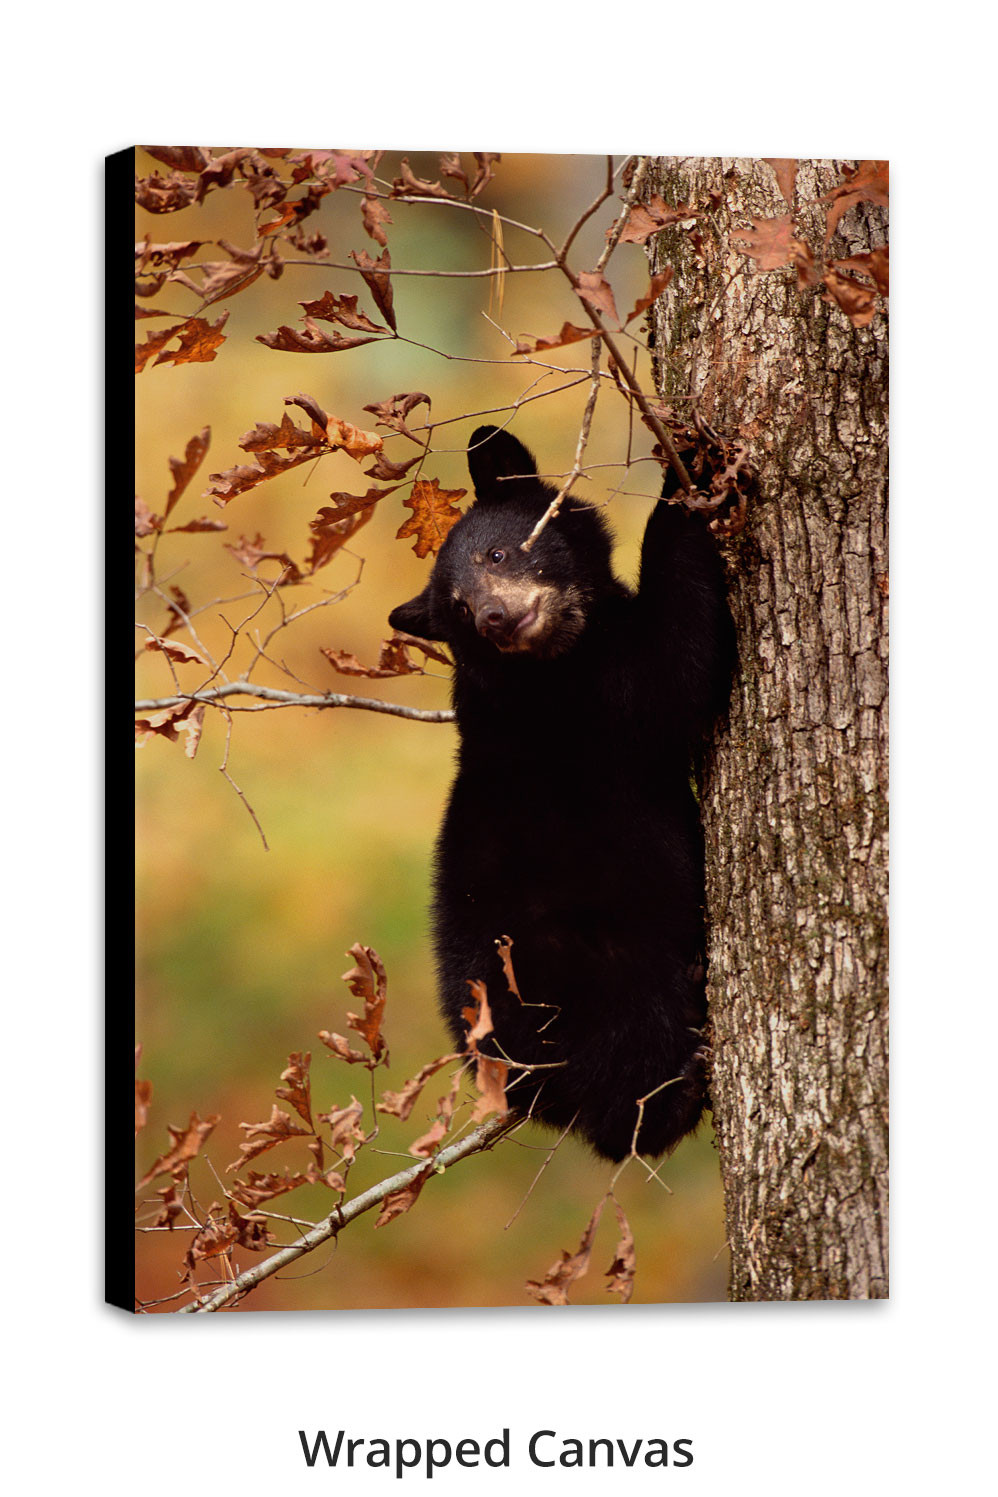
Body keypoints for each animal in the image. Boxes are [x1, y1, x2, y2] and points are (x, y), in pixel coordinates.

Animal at [388, 424, 736, 1162]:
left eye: (496, 552)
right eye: (459, 607)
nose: (494, 616)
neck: (562, 652)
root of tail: (527, 1090)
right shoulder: (588, 702)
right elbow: (677, 667)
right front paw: (684, 474)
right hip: (589, 975)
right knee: (627, 1085)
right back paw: (677, 1089)